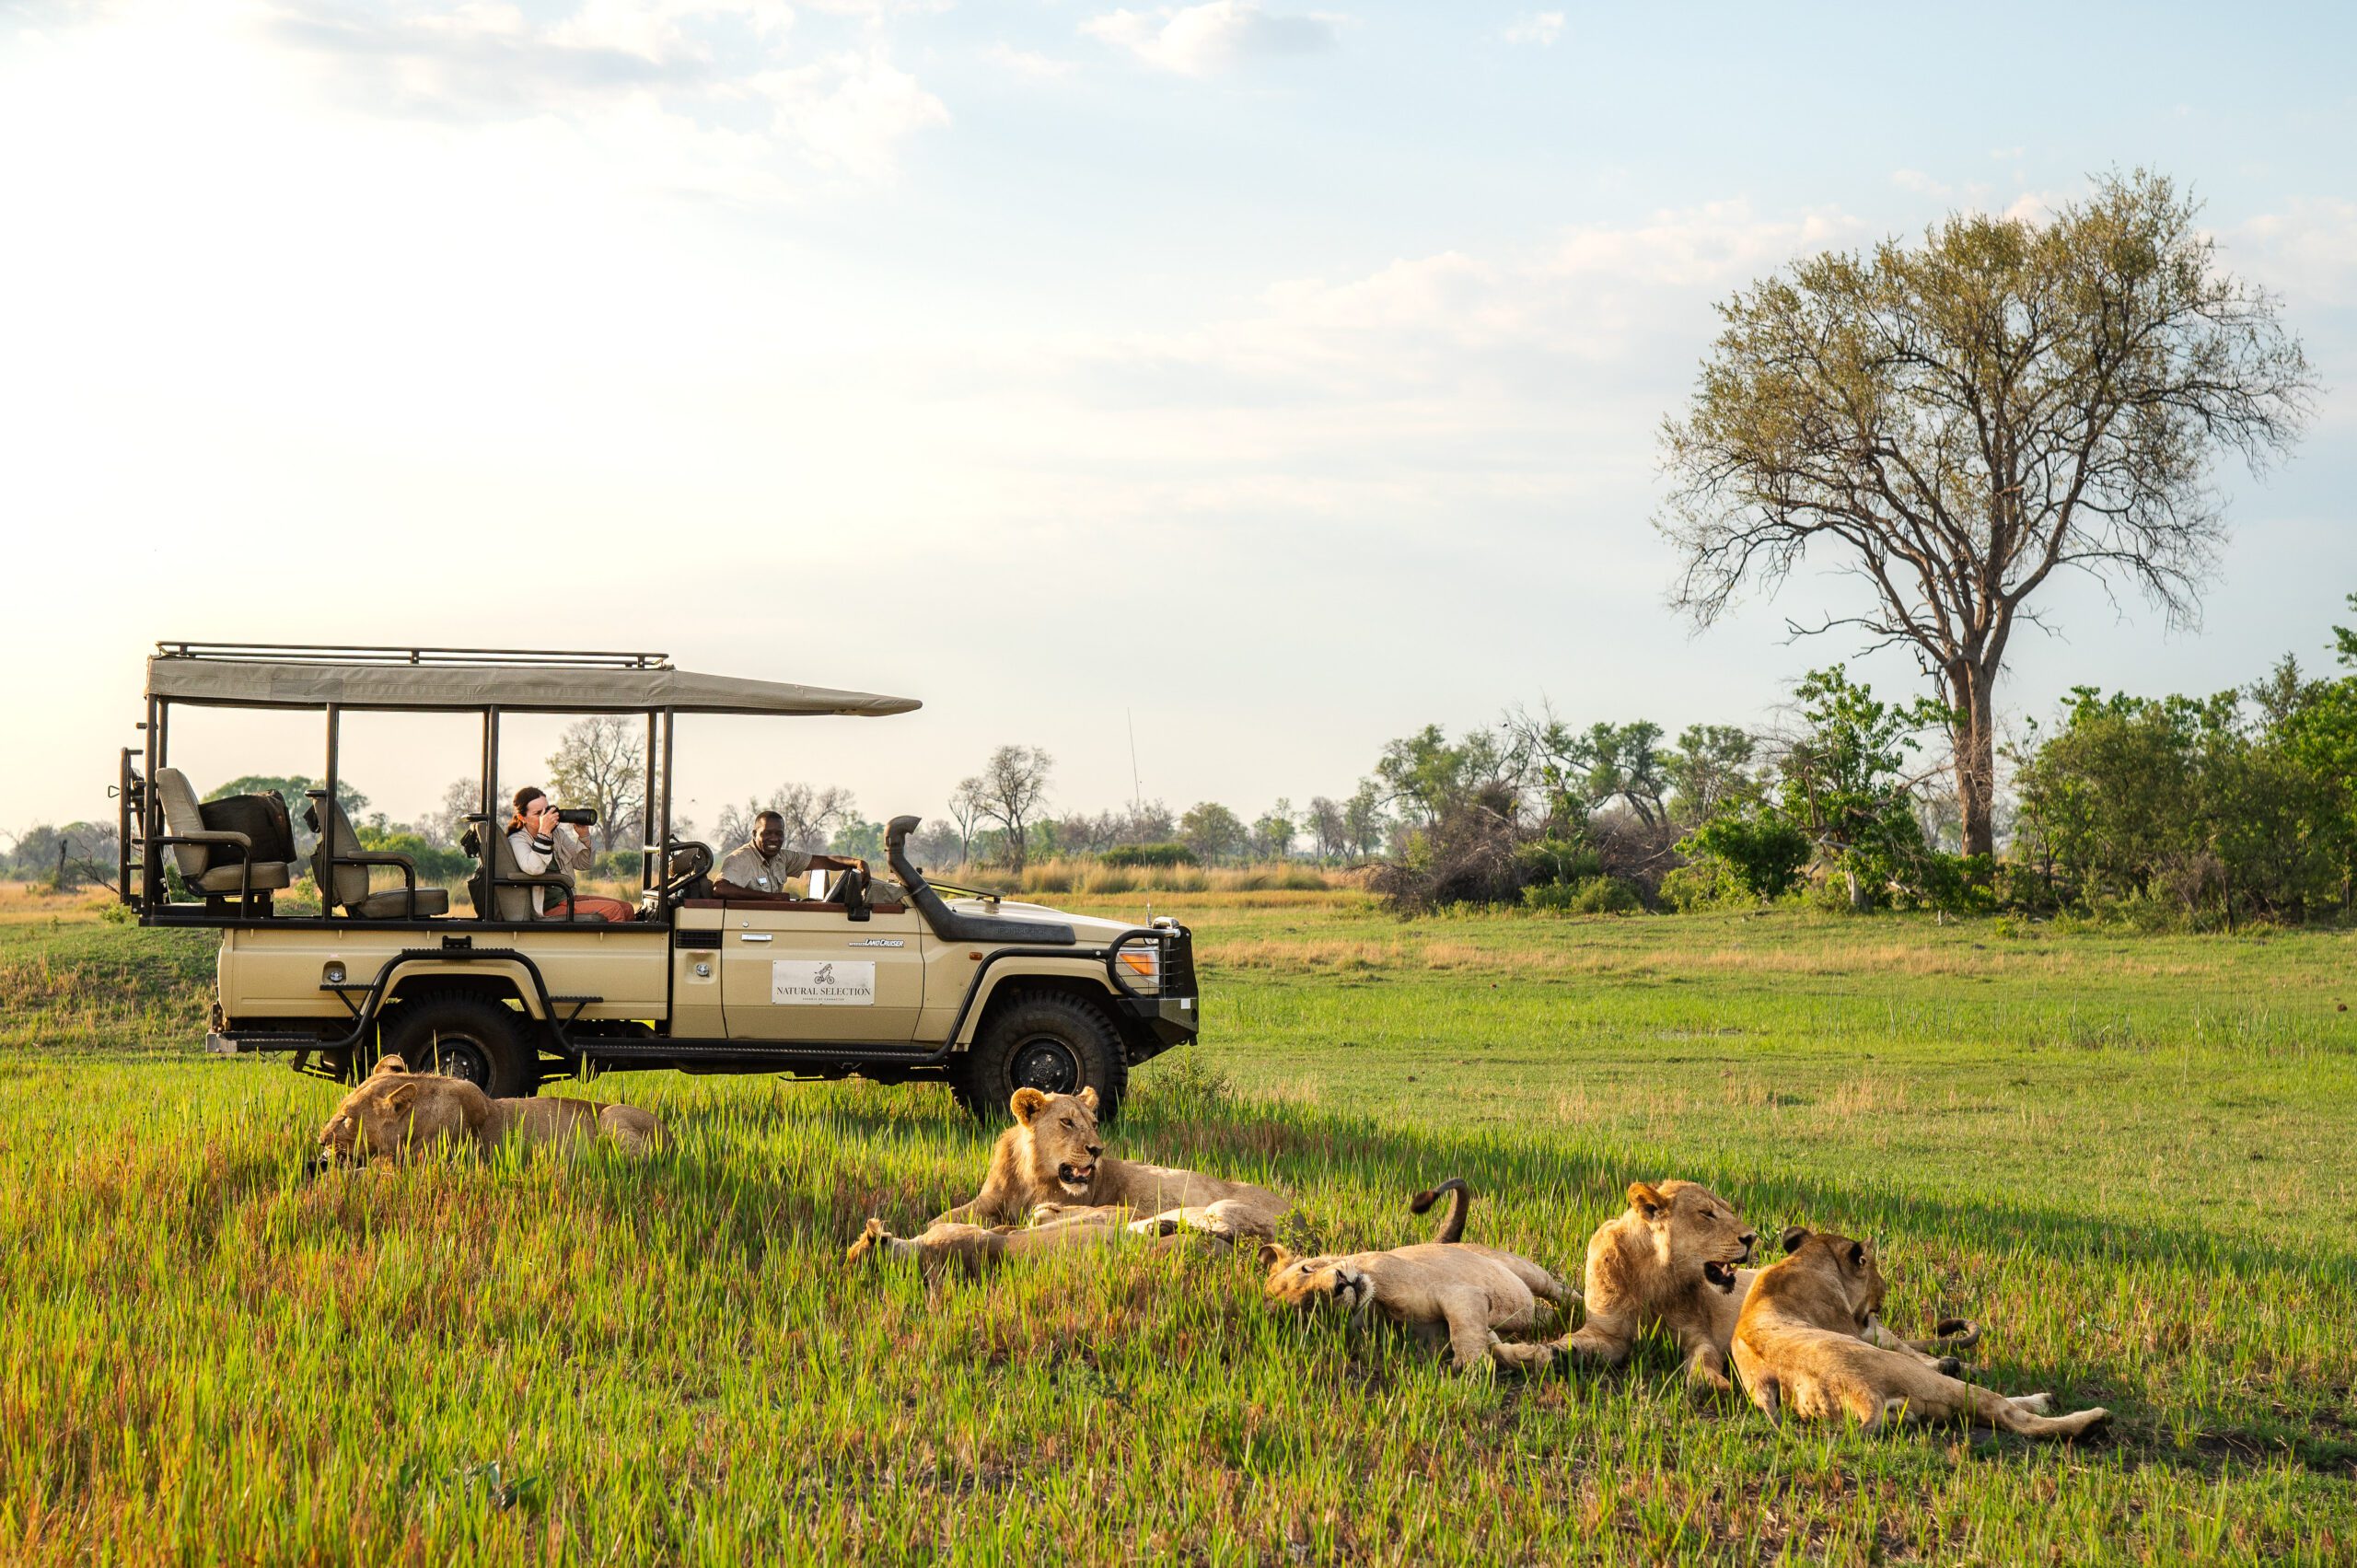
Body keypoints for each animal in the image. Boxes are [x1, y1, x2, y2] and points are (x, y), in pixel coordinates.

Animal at [934, 1086, 1298, 1243]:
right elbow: (943, 1217)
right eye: (1067, 1122)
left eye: (1094, 1123)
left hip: (1226, 1207)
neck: (1029, 1174)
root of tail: (1301, 1218)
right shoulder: (987, 1201)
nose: (1096, 1149)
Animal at [1258, 1178, 1573, 1374]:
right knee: (1544, 1314)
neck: (1375, 1309)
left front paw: (1473, 1364)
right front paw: (1535, 1355)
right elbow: (1492, 1343)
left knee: (1560, 1290)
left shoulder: (1461, 1293)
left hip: (1523, 1269)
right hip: (1534, 1311)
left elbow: (1465, 1332)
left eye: (1307, 1268)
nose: (1340, 1283)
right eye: (1310, 1307)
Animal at [1553, 1181, 1978, 1395]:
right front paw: (1552, 1352)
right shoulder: (1607, 1333)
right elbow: (1574, 1343)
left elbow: (1703, 1359)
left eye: (1727, 1209)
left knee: (1907, 1352)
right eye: (1707, 1214)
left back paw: (1952, 1364)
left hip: (1870, 1332)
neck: (1655, 1273)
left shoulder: (1698, 1334)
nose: (1752, 1237)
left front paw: (1710, 1383)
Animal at [1732, 1227, 2107, 1439]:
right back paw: (2084, 1418)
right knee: (2003, 1411)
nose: (1884, 1291)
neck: (1806, 1260)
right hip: (1912, 1375)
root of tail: (1860, 1395)